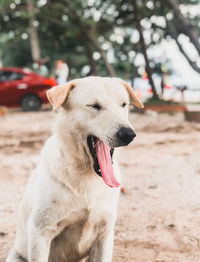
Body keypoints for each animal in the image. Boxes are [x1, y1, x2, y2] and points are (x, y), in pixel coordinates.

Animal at [7, 76, 143, 262]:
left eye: (123, 104)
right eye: (94, 106)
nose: (128, 134)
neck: (87, 177)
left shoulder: (104, 234)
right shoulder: (40, 233)